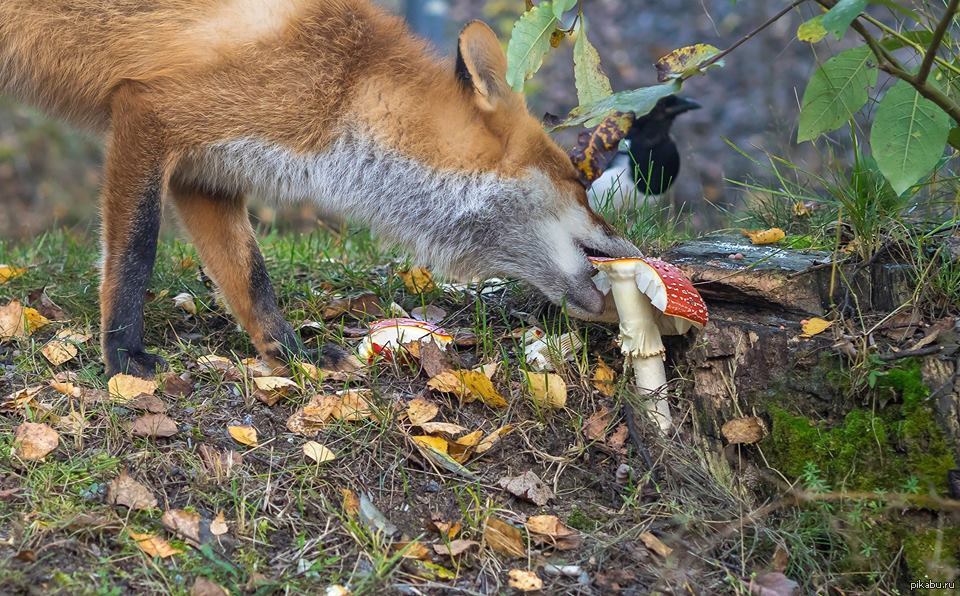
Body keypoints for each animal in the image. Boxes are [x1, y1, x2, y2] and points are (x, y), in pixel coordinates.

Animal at [1, 0, 644, 378]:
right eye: (580, 183)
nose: (638, 251)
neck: (345, 87)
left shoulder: (203, 173)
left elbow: (250, 278)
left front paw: (291, 355)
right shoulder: (150, 114)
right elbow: (135, 253)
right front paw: (122, 357)